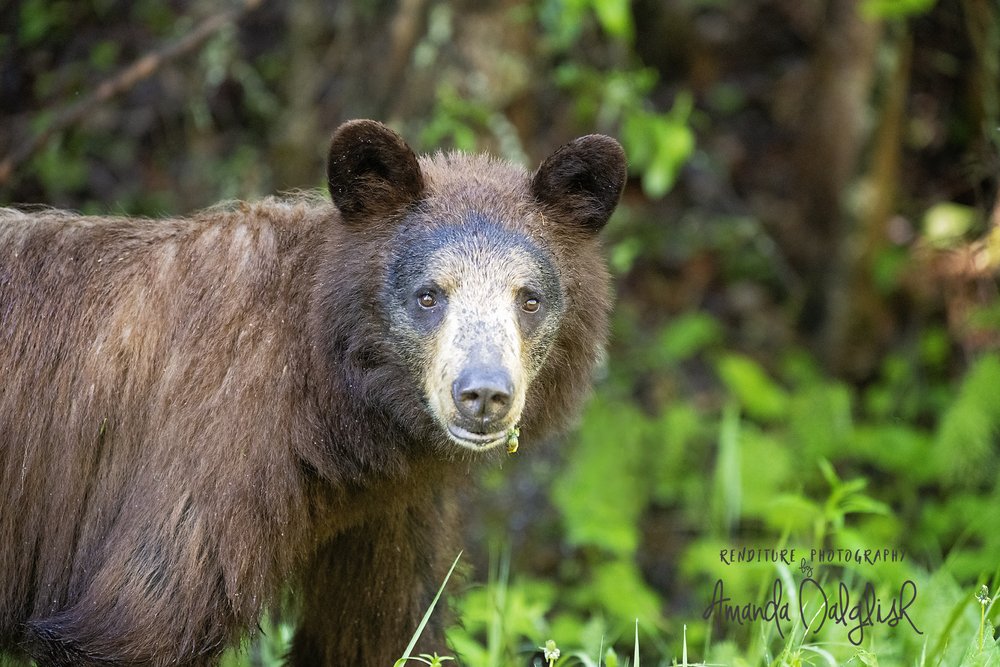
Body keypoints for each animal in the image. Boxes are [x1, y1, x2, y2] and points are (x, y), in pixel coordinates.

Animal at [0, 120, 624, 667]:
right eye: (429, 295)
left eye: (529, 298)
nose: (484, 394)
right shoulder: (209, 457)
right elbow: (139, 616)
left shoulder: (387, 514)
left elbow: (377, 630)